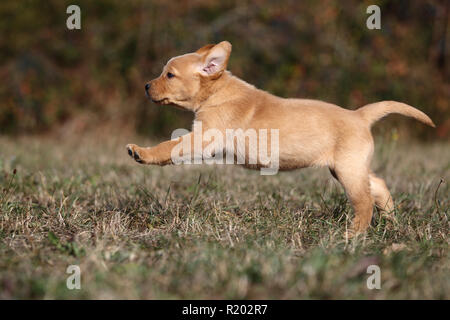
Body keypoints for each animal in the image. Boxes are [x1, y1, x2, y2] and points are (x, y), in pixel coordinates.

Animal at [125, 41, 432, 236]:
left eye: (169, 75)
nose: (146, 86)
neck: (216, 91)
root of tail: (359, 115)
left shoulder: (202, 139)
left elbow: (169, 146)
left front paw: (141, 152)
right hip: (348, 167)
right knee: (377, 185)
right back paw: (391, 222)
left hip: (348, 170)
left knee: (364, 201)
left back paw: (353, 236)